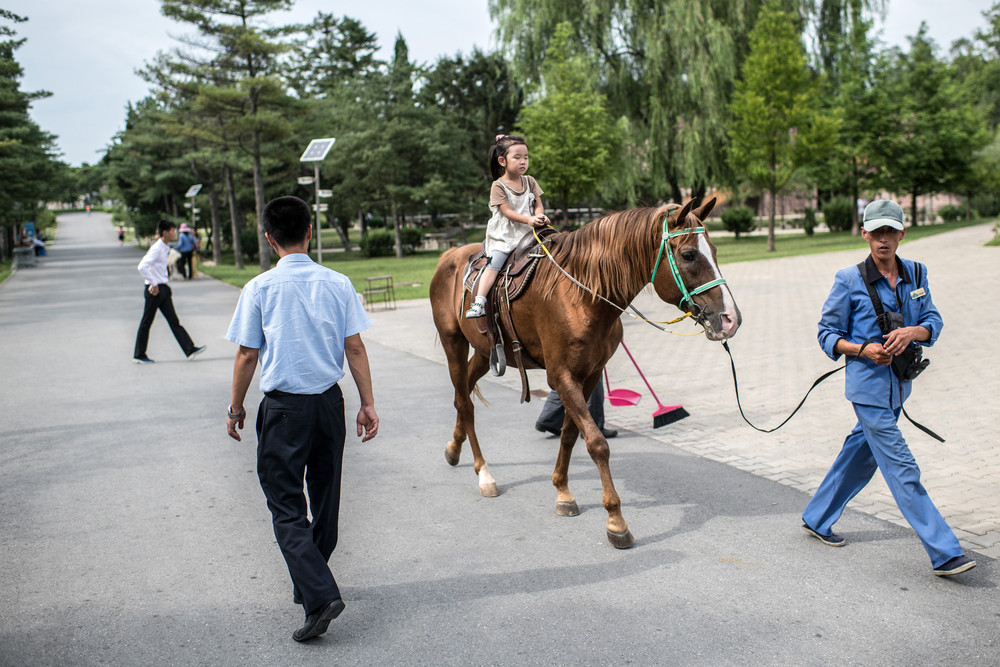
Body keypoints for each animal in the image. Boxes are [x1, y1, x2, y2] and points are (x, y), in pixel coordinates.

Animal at [430, 197, 744, 548]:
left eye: (714, 250)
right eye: (689, 255)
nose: (730, 318)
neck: (581, 295)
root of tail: (450, 255)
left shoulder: (589, 373)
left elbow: (570, 434)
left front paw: (563, 491)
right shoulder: (561, 376)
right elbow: (596, 443)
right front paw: (616, 520)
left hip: (486, 352)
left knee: (463, 396)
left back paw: (454, 447)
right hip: (453, 343)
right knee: (465, 403)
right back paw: (484, 473)